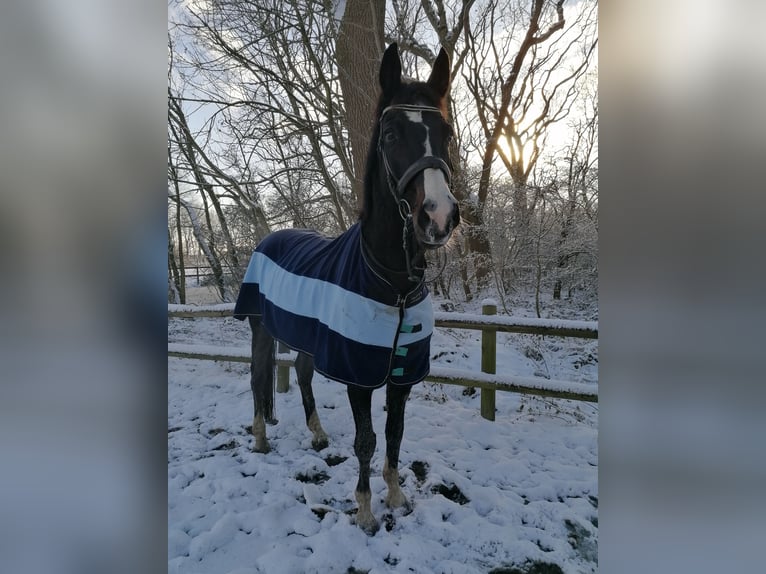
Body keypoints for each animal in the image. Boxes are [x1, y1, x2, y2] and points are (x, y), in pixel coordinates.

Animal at [234, 44, 460, 536]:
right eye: (391, 134)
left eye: (446, 133)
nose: (438, 217)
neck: (392, 282)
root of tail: (267, 238)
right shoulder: (360, 373)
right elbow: (367, 440)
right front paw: (366, 512)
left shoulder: (401, 374)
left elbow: (394, 433)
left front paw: (395, 496)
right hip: (260, 328)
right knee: (258, 377)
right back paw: (260, 439)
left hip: (305, 337)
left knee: (301, 373)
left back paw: (317, 435)